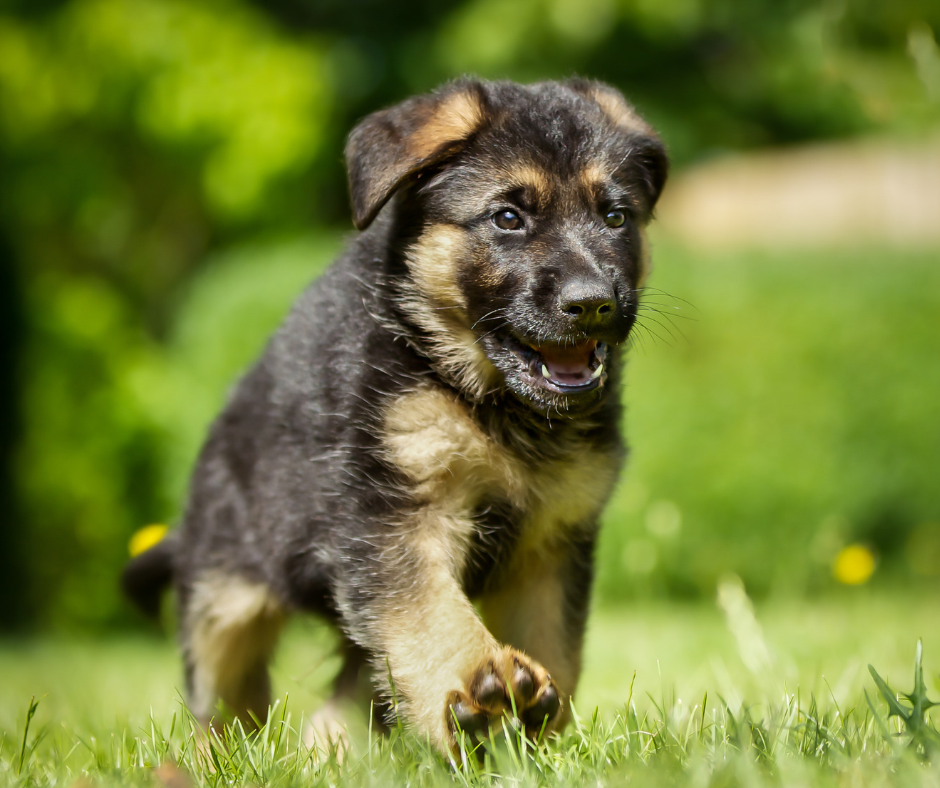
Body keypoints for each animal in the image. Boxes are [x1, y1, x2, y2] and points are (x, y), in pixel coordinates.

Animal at [123, 78, 668, 756]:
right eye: (508, 218)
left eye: (615, 217)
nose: (592, 303)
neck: (486, 399)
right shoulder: (393, 513)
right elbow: (427, 607)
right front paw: (476, 681)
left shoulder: (552, 540)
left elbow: (555, 646)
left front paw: (538, 733)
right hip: (223, 595)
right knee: (225, 697)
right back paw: (225, 759)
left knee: (355, 687)